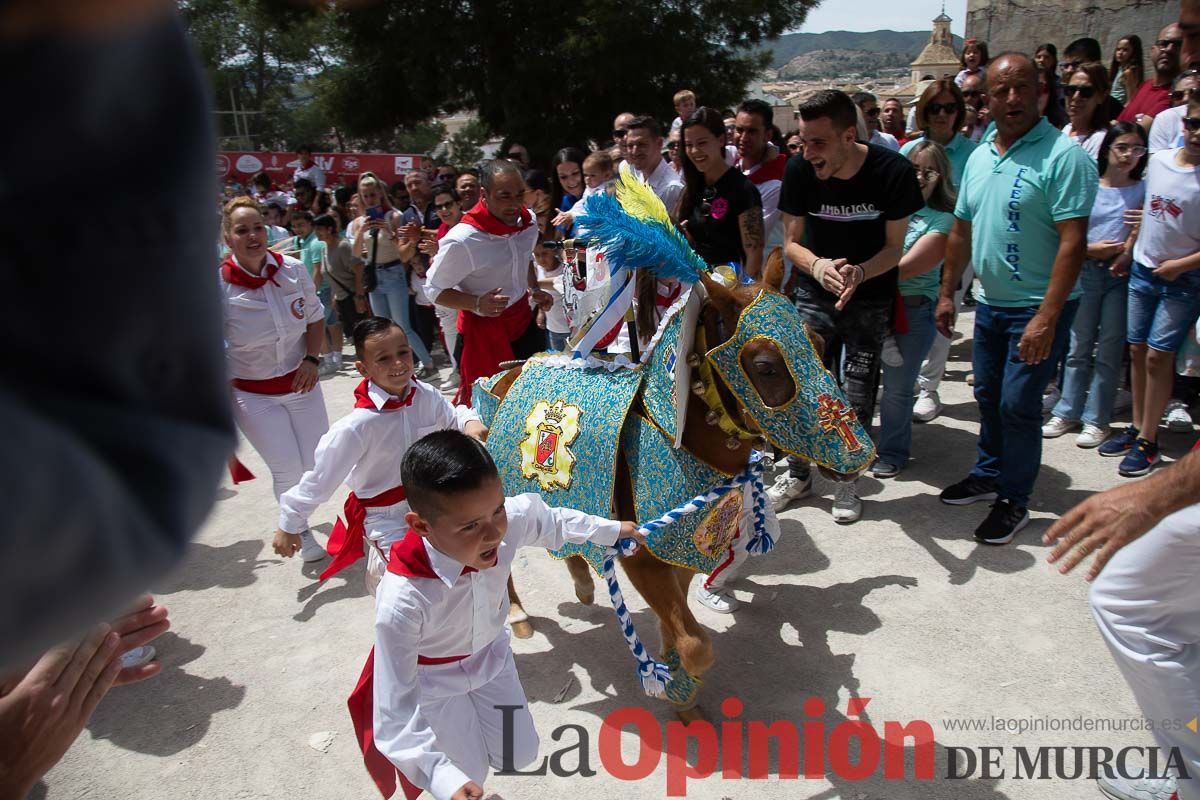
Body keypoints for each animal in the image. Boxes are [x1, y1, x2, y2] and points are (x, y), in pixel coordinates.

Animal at [484, 248, 873, 714]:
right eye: (765, 365)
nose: (858, 457)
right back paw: (518, 616)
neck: (681, 444)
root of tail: (514, 369)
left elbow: (680, 627)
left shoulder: (681, 549)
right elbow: (696, 645)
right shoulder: (640, 557)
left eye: (818, 343)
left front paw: (678, 684)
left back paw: (581, 582)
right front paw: (678, 689)